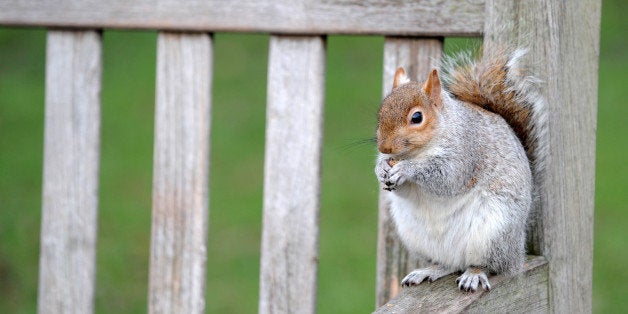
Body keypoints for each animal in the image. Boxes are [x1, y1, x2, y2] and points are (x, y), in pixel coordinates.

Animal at [376, 48, 548, 292]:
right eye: (380, 113)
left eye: (417, 117)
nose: (385, 148)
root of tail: (517, 249)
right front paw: (381, 168)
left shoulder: (466, 152)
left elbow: (447, 177)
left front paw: (406, 170)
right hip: (417, 237)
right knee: (448, 264)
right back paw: (429, 270)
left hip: (493, 232)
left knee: (487, 264)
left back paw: (474, 274)